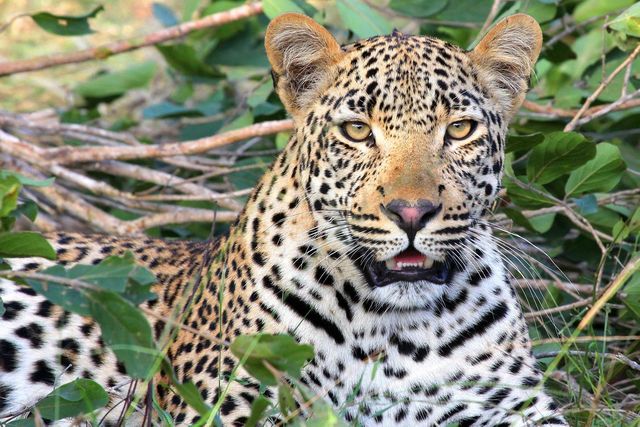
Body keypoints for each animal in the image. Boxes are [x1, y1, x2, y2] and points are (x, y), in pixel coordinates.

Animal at [0, 13, 568, 427]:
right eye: (357, 131)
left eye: (460, 129)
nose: (412, 212)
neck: (394, 333)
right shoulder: (227, 404)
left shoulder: (513, 409)